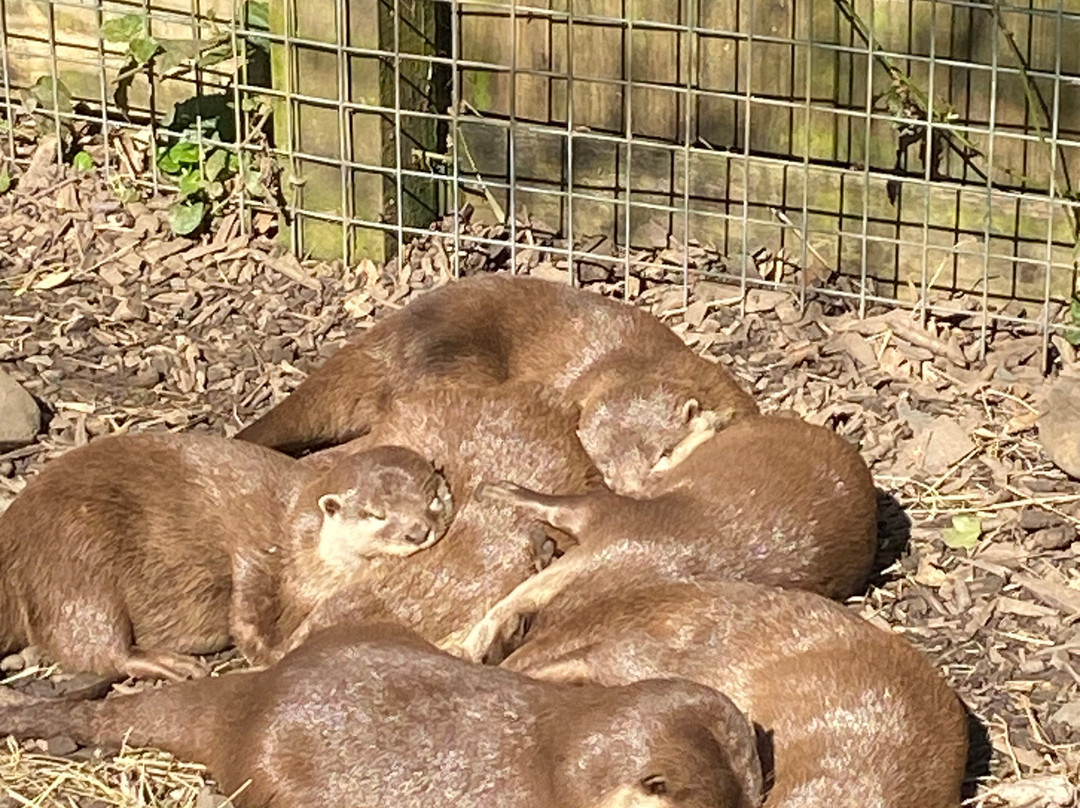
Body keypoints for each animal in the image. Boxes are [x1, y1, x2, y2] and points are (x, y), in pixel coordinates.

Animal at [0, 433, 451, 680]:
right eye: (376, 514)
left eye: (432, 499)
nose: (418, 531)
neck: (302, 540)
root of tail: (13, 535)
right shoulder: (258, 549)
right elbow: (247, 611)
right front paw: (272, 655)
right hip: (76, 560)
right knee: (94, 646)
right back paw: (173, 664)